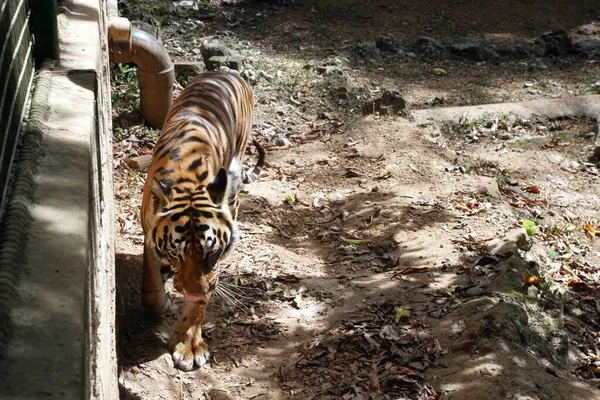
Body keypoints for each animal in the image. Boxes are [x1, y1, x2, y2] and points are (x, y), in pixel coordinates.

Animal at [140, 69, 264, 372]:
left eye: (213, 253)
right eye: (176, 253)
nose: (194, 291)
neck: (187, 181)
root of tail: (225, 71)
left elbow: (199, 306)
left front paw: (188, 346)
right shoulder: (150, 239)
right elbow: (150, 292)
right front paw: (166, 306)